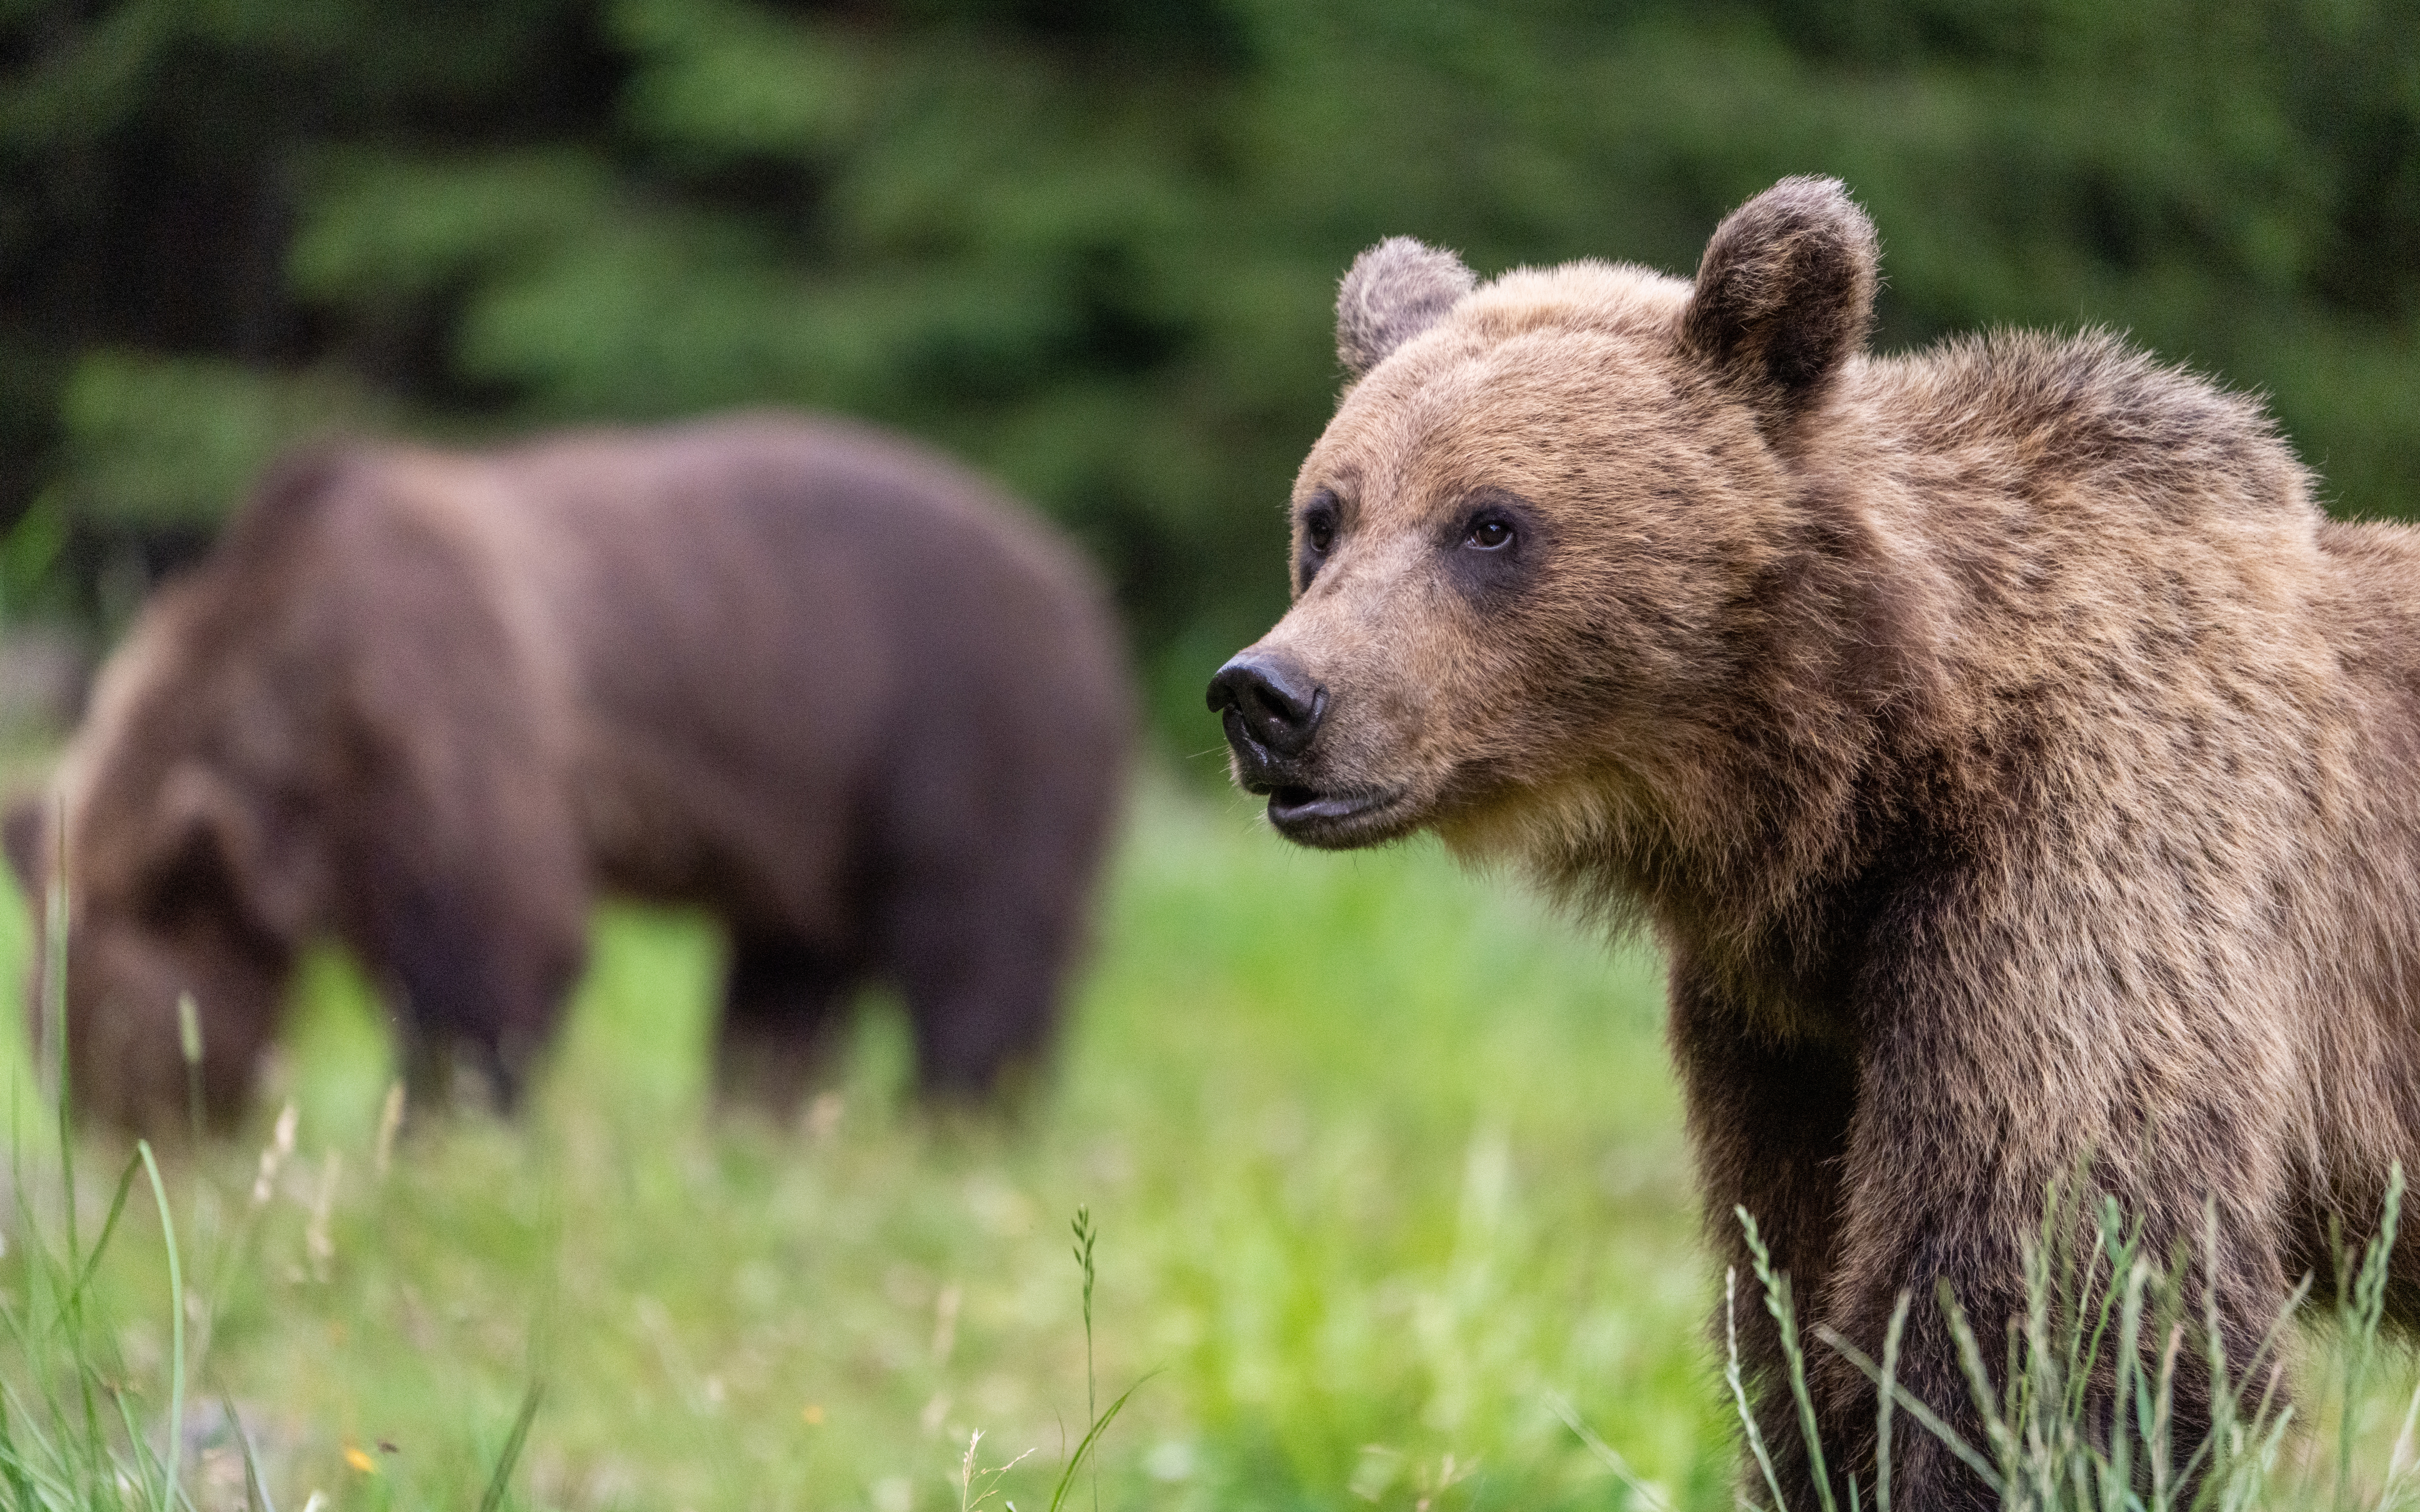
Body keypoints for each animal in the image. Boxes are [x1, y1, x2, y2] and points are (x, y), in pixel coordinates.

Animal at [13, 411, 1132, 1134]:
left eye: (109, 1039)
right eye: (41, 1041)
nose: (109, 1144)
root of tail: (1077, 576)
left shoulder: (443, 713)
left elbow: (492, 944)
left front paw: (445, 1121)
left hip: (959, 716)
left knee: (976, 933)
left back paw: (962, 1114)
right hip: (817, 812)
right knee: (788, 969)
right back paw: (753, 1117)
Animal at [1208, 176, 2420, 1507]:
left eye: (1489, 524)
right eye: (1325, 518)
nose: (1270, 696)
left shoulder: (2102, 871)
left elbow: (2050, 1301)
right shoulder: (1787, 1039)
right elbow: (1796, 1313)